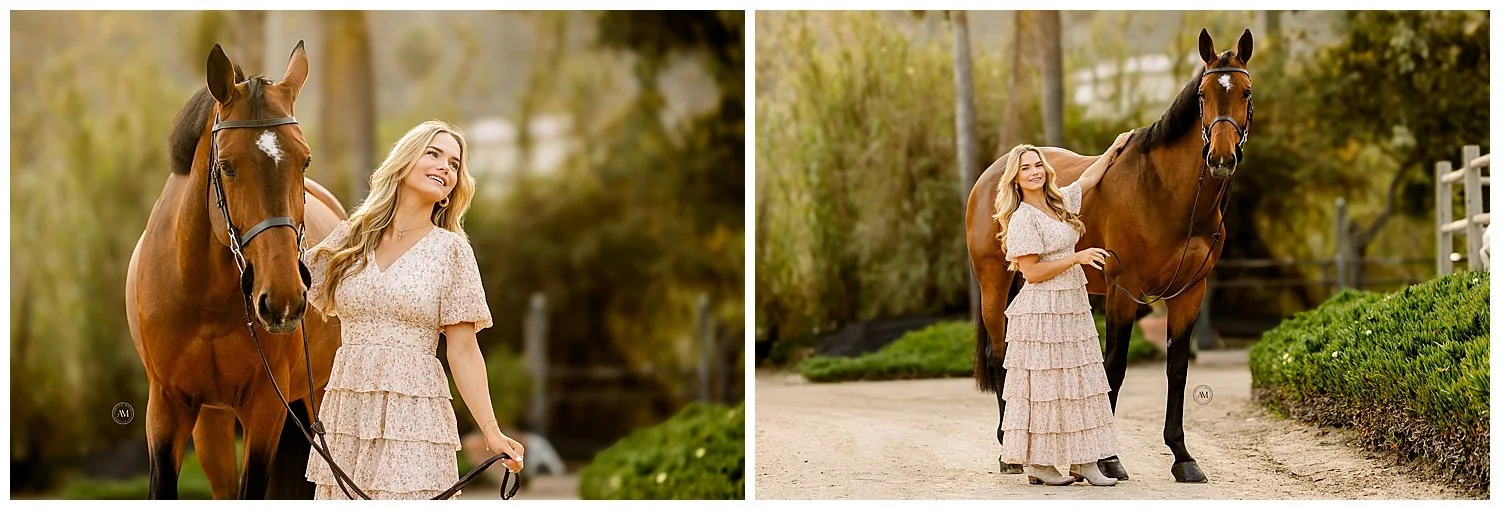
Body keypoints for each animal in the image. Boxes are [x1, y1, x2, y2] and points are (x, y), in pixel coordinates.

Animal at [126, 41, 348, 499]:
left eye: (304, 161)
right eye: (227, 165)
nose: (283, 300)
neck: (202, 295)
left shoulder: (266, 407)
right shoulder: (166, 406)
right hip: (211, 418)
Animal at [965, 28, 1254, 483]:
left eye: (1245, 92)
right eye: (1203, 95)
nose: (1221, 159)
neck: (1162, 192)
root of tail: (990, 175)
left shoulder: (1190, 292)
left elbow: (1177, 368)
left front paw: (1183, 457)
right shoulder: (1124, 288)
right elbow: (1114, 365)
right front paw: (1107, 459)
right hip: (993, 283)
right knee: (998, 356)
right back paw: (1008, 454)